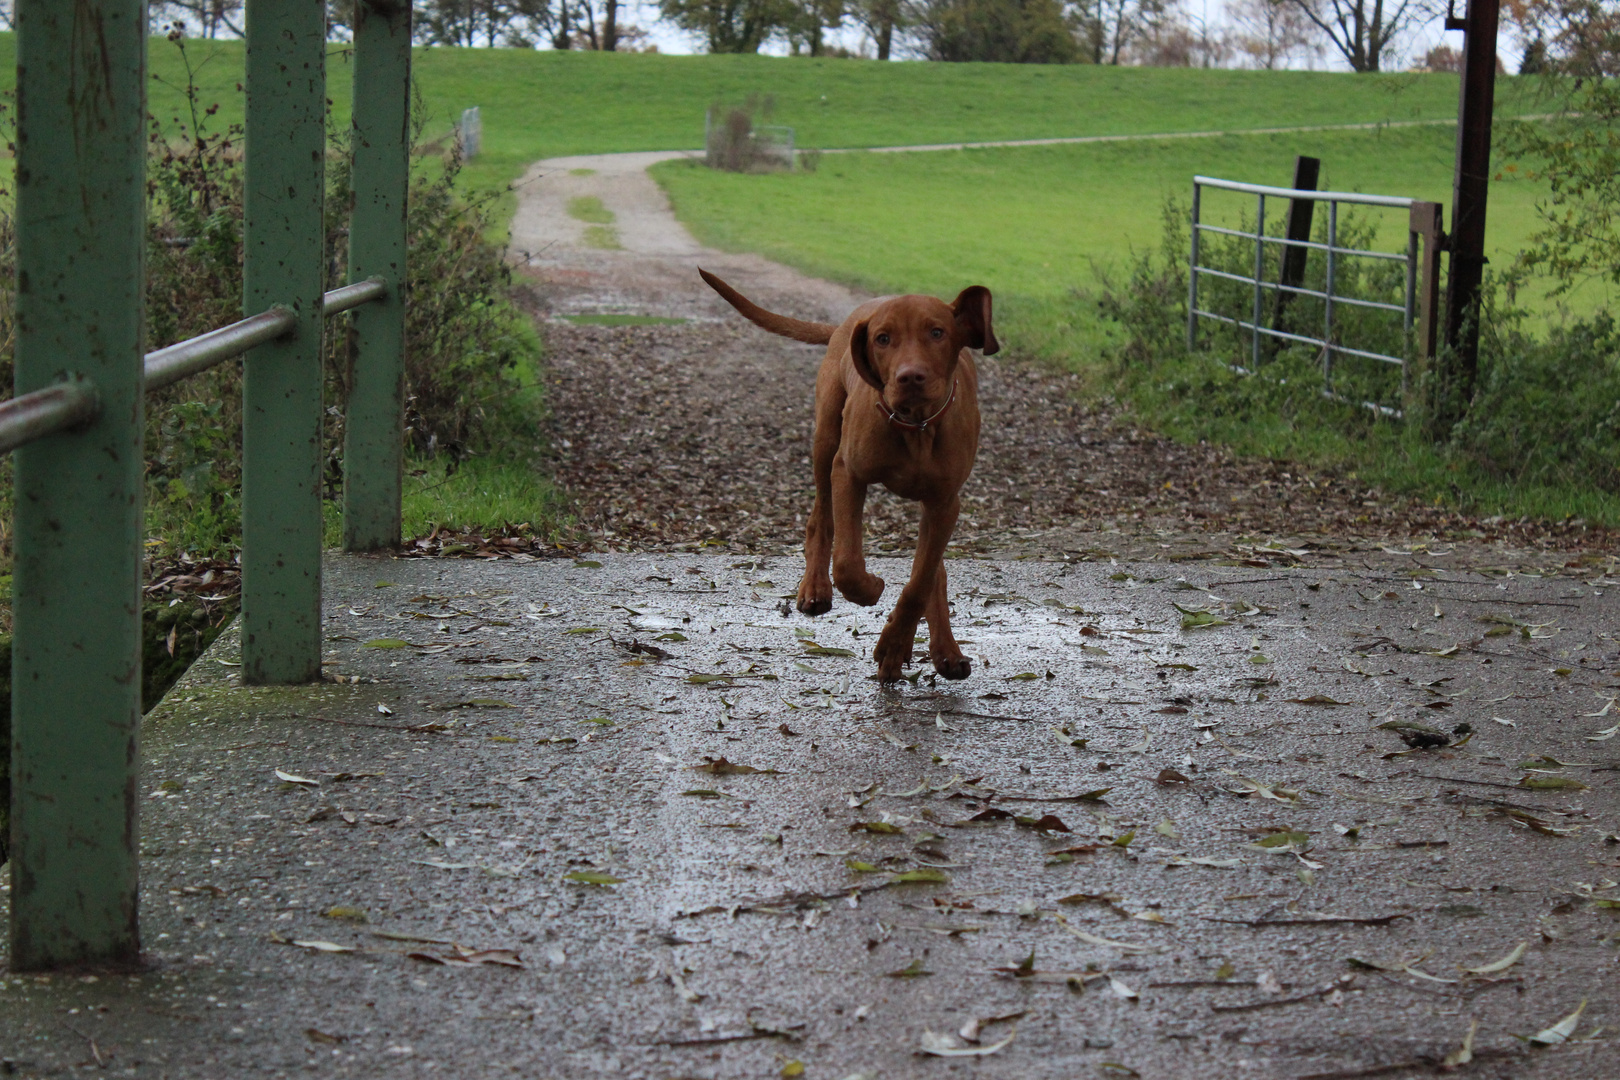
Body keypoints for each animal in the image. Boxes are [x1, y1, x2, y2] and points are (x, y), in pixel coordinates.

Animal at [699, 265, 991, 680]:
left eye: (937, 333)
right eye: (883, 339)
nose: (910, 377)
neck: (916, 427)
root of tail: (847, 320)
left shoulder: (945, 503)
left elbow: (920, 580)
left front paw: (895, 645)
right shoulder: (848, 473)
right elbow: (849, 565)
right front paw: (871, 589)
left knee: (934, 569)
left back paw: (946, 652)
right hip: (825, 440)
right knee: (819, 518)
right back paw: (815, 589)